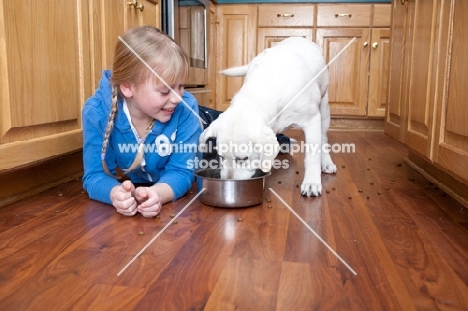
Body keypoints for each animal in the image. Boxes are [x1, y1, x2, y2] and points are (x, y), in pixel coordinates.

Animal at [200, 37, 336, 197]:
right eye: (221, 157)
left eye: (243, 158)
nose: (228, 181)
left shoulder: (311, 120)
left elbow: (312, 156)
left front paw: (311, 182)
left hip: (324, 109)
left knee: (323, 139)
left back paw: (326, 162)